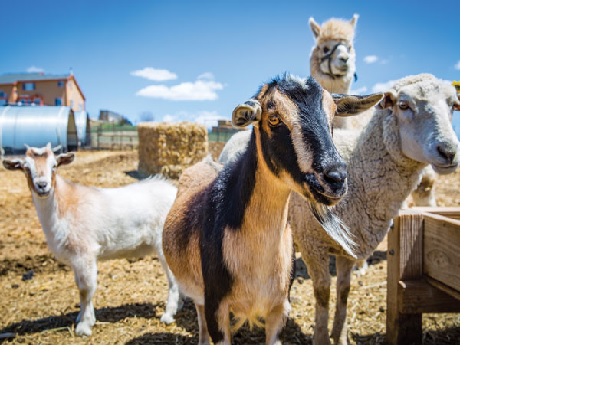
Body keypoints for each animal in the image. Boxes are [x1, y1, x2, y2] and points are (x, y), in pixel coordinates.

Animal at [2, 143, 182, 336]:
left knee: (173, 279)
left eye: (54, 166)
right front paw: (81, 317)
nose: (42, 185)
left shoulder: (84, 252)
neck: (64, 205)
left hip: (165, 243)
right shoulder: (75, 257)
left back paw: (168, 315)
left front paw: (84, 326)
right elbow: (79, 286)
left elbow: (85, 289)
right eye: (25, 168)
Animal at [162, 74, 382, 344]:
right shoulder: (217, 309)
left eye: (332, 115)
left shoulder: (279, 309)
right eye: (273, 118)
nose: (335, 178)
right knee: (200, 317)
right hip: (199, 294)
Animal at [286, 72, 460, 342]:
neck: (357, 167)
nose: (449, 151)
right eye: (403, 105)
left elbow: (344, 291)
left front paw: (341, 337)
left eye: (453, 105)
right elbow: (323, 293)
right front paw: (321, 339)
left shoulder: (350, 245)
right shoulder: (311, 243)